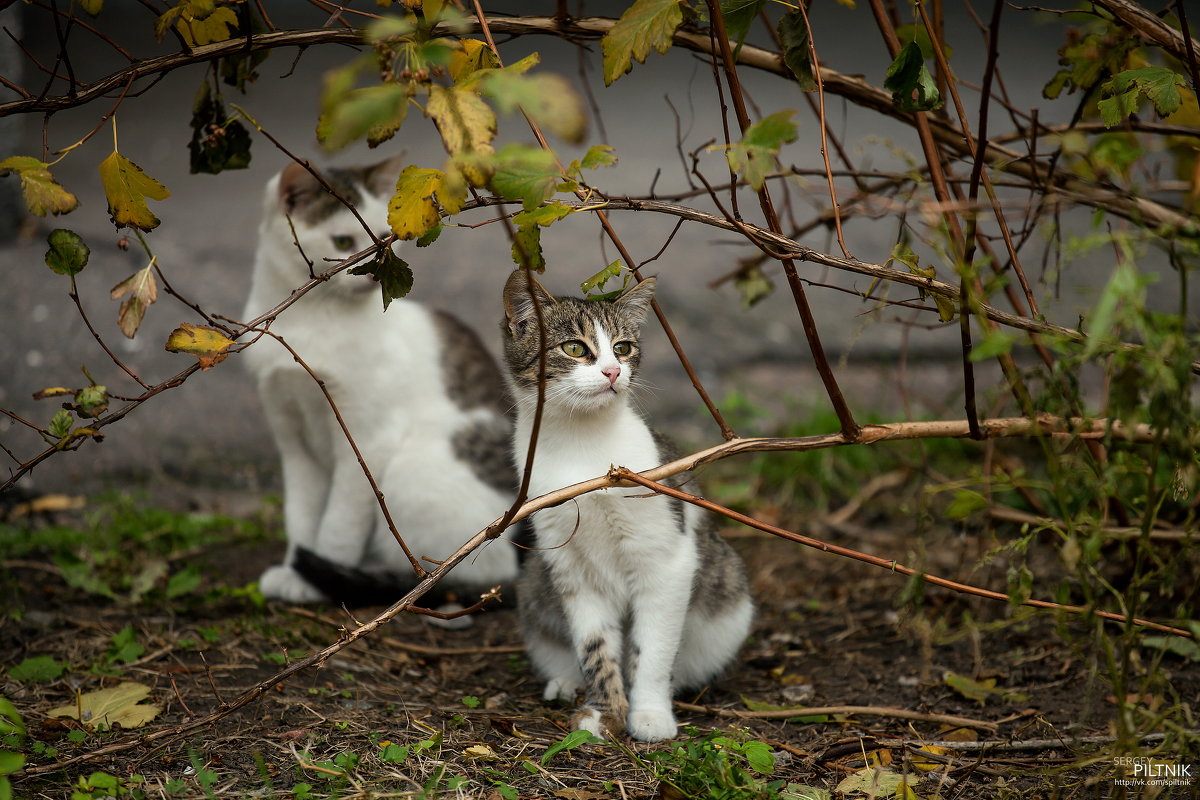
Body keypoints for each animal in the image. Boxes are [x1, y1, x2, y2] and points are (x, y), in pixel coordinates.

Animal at [241, 159, 523, 609]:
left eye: (385, 241)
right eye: (343, 240)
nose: (374, 274)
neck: (312, 318)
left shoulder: (367, 441)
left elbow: (338, 525)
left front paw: (316, 578)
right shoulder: (293, 441)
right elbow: (301, 515)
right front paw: (294, 569)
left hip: (412, 474)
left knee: (470, 571)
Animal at [501, 271, 753, 743]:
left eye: (622, 347)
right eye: (574, 348)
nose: (613, 371)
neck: (582, 443)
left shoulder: (667, 559)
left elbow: (652, 647)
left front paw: (649, 712)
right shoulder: (570, 567)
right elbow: (594, 645)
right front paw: (604, 712)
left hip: (729, 596)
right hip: (535, 587)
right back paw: (566, 682)